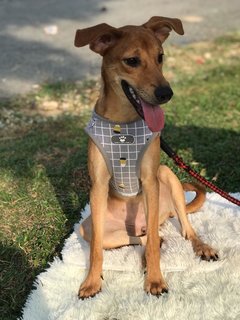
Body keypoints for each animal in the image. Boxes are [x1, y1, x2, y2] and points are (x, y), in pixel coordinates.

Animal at [74, 15, 218, 300]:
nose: (166, 94)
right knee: (139, 238)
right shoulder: (97, 187)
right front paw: (92, 281)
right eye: (132, 61)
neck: (122, 125)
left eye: (160, 57)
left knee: (182, 229)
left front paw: (154, 279)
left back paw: (201, 247)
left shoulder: (151, 181)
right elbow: (96, 250)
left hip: (167, 177)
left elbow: (153, 244)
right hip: (91, 227)